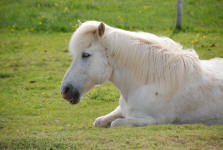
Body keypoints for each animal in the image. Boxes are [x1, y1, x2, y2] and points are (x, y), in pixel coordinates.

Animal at [60, 20, 223, 126]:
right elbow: (99, 121)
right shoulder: (122, 109)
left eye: (85, 55)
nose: (65, 90)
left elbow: (115, 123)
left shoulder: (152, 120)